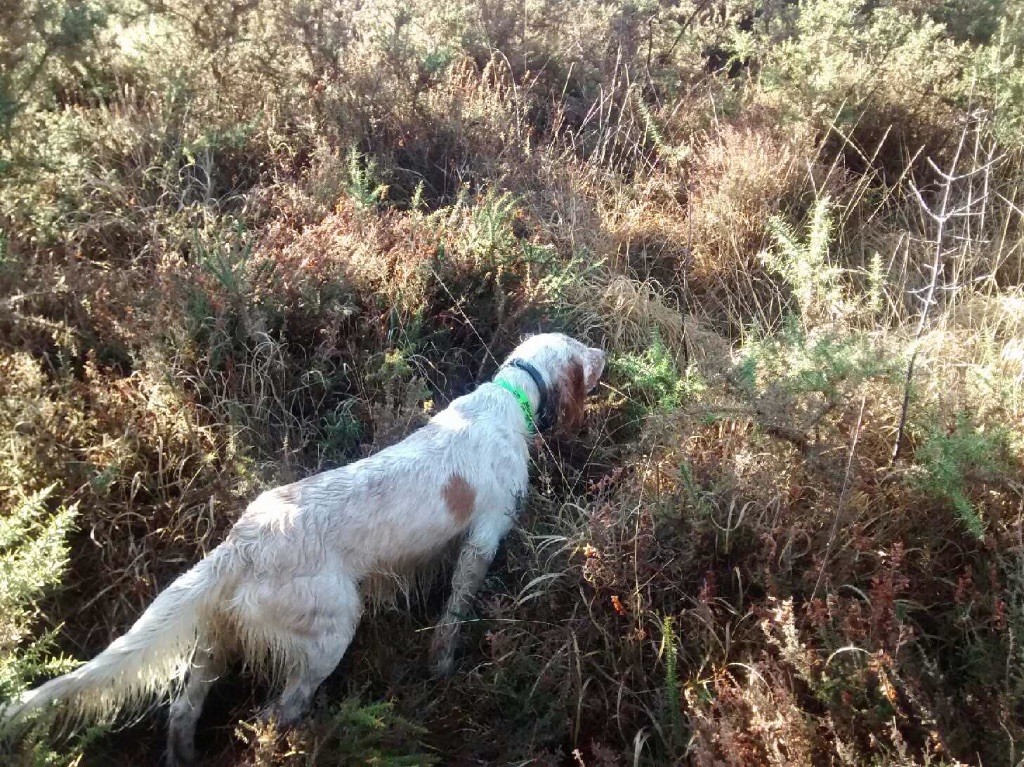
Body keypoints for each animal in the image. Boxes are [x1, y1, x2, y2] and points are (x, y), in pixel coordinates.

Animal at [0, 333, 602, 765]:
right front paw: (443, 665)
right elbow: (455, 613)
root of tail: (239, 546)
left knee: (183, 710)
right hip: (330, 631)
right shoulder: (484, 537)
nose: (605, 353)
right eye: (583, 353)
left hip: (215, 641)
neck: (510, 399)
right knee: (275, 713)